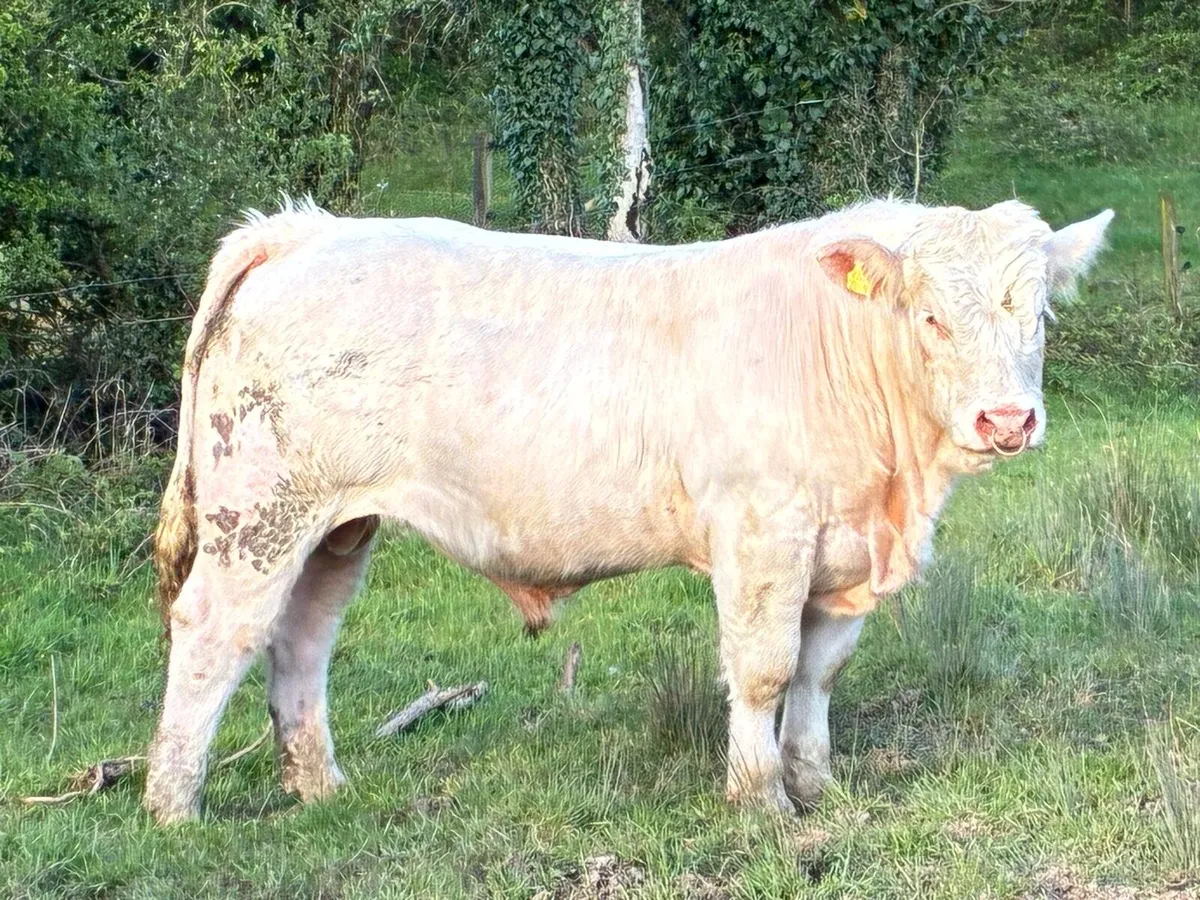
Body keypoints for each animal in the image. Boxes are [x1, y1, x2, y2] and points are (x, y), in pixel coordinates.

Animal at [143, 197, 1113, 824]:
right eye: (930, 317)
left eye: (1039, 313)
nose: (1006, 420)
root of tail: (307, 231)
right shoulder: (763, 532)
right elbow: (765, 670)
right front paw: (761, 801)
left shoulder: (844, 552)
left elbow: (820, 672)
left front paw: (818, 787)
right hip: (259, 512)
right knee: (215, 633)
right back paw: (173, 807)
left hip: (338, 527)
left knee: (302, 639)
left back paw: (321, 789)